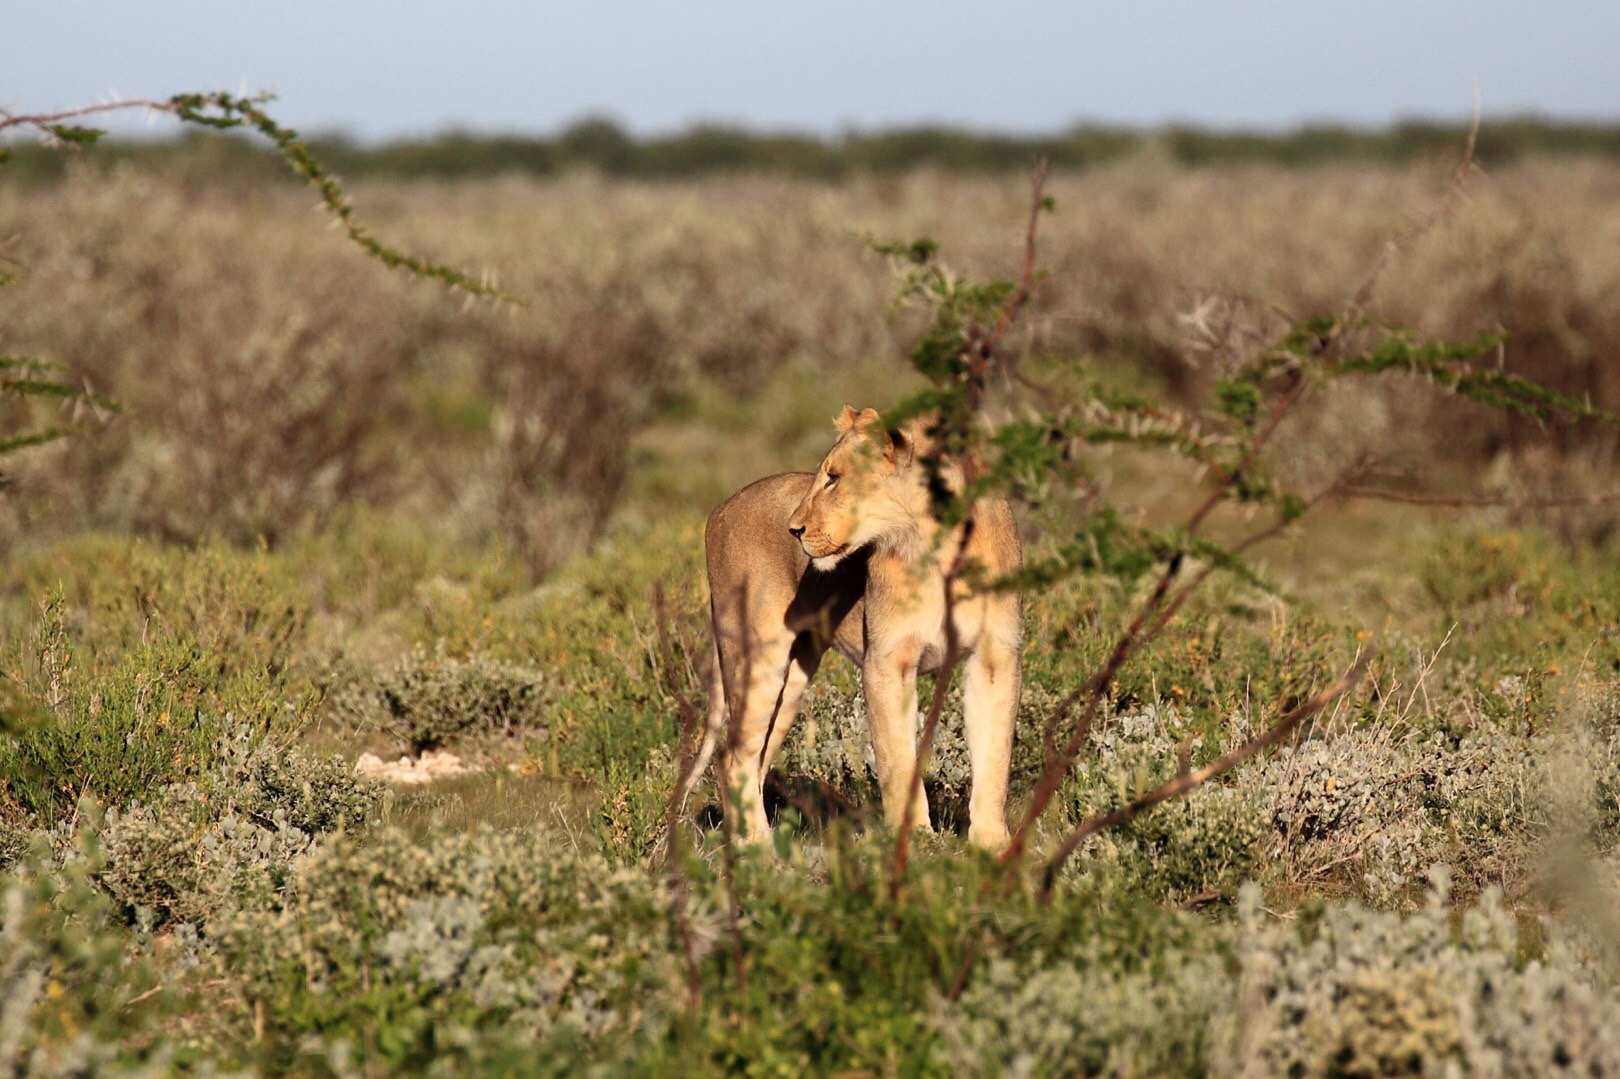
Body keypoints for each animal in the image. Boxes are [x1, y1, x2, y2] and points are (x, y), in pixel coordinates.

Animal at [680, 403, 1010, 848]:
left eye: (834, 478)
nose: (794, 529)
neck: (937, 547)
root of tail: (719, 509)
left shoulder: (994, 657)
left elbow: (995, 755)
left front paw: (993, 843)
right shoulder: (886, 662)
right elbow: (897, 759)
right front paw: (916, 839)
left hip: (795, 674)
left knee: (755, 758)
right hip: (757, 654)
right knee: (732, 757)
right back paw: (758, 849)